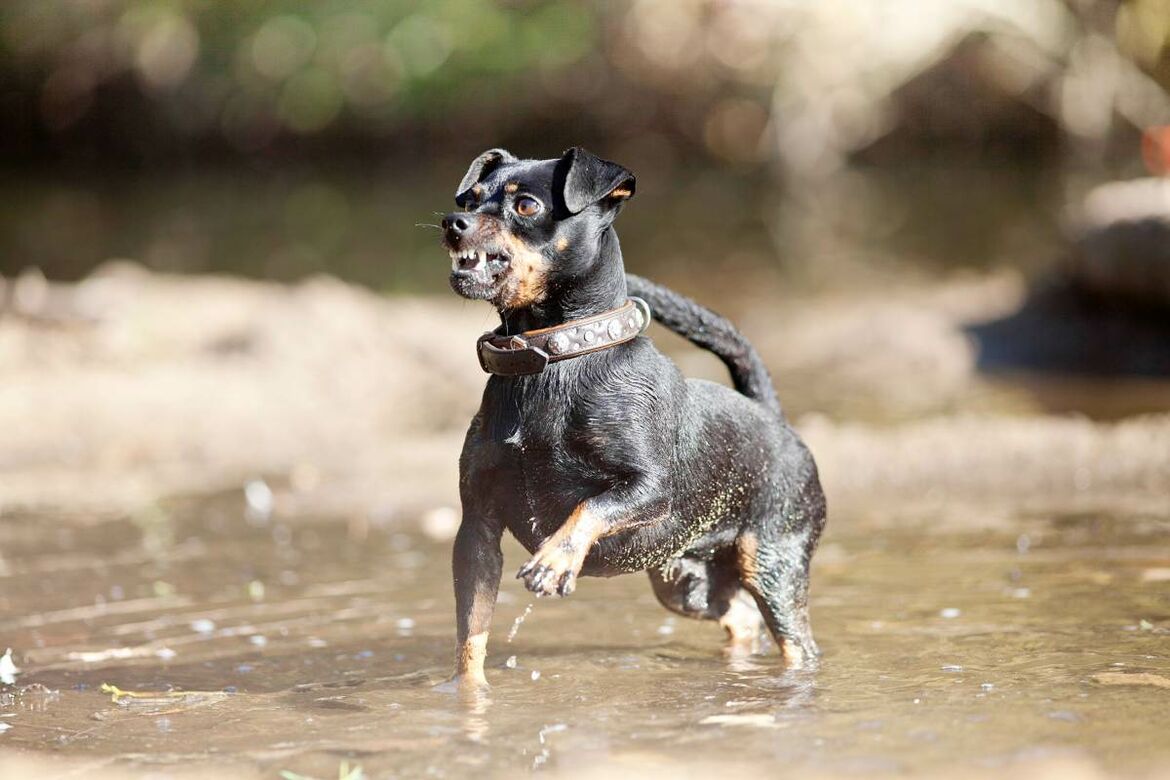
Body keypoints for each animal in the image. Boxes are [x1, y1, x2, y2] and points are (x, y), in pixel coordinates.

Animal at [439, 147, 833, 687]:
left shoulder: (649, 489)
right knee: (740, 617)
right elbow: (470, 635)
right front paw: (468, 694)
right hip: (682, 581)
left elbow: (591, 506)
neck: (556, 358)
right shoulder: (477, 529)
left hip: (775, 565)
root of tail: (775, 419)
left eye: (525, 206)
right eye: (471, 199)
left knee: (797, 643)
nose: (451, 223)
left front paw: (555, 561)